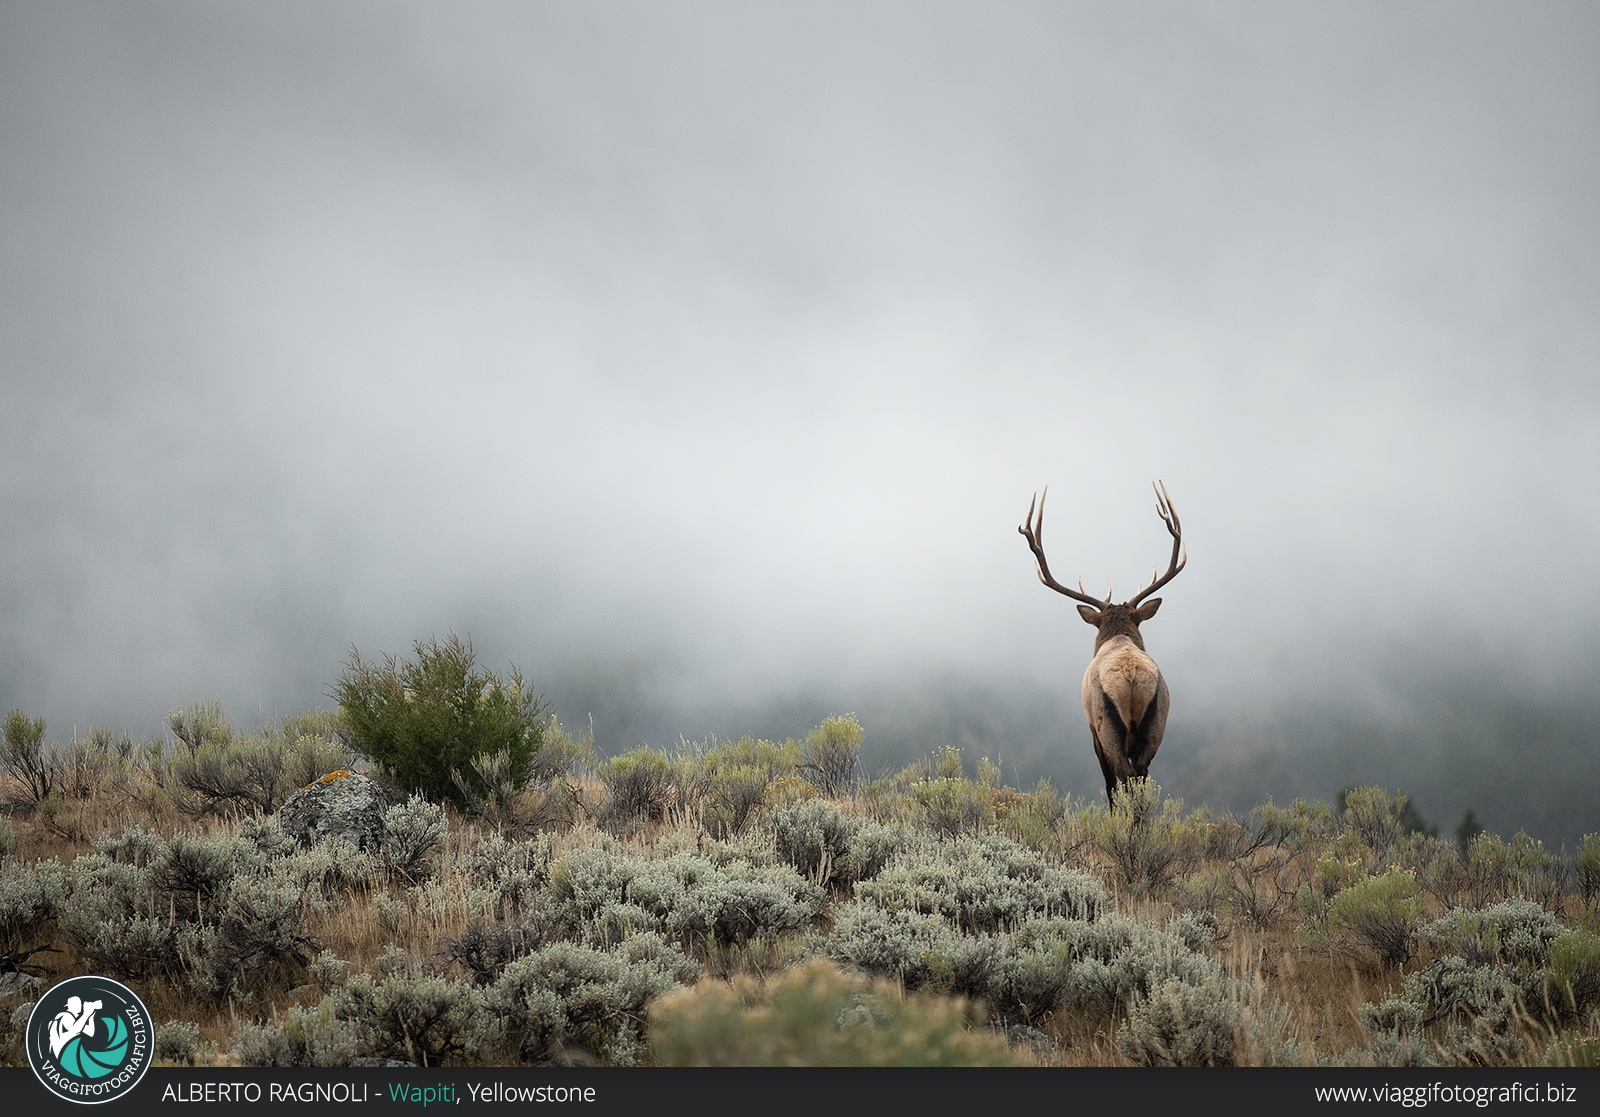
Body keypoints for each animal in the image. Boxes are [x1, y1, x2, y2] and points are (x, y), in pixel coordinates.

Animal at [1017, 480, 1184, 800]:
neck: (1118, 638)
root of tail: (1131, 676)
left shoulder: (1092, 730)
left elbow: (1109, 785)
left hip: (1108, 727)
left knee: (1123, 779)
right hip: (1157, 724)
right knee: (1139, 777)